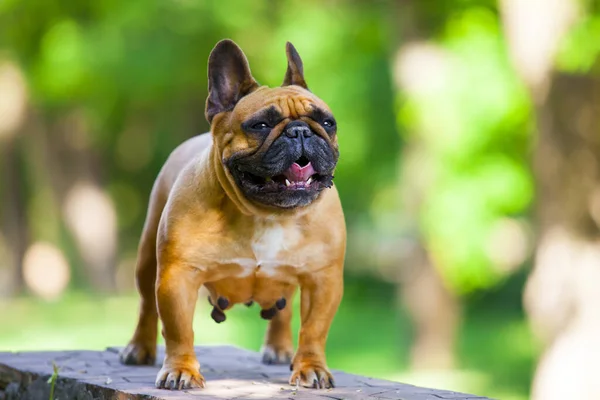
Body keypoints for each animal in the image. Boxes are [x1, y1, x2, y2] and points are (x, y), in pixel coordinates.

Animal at [119, 39, 344, 390]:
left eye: (327, 122)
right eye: (261, 125)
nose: (300, 132)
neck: (267, 214)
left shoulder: (323, 280)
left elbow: (314, 329)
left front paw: (311, 368)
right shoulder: (177, 276)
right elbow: (178, 329)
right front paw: (181, 370)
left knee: (283, 307)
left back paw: (279, 348)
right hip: (147, 260)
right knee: (145, 305)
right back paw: (139, 349)